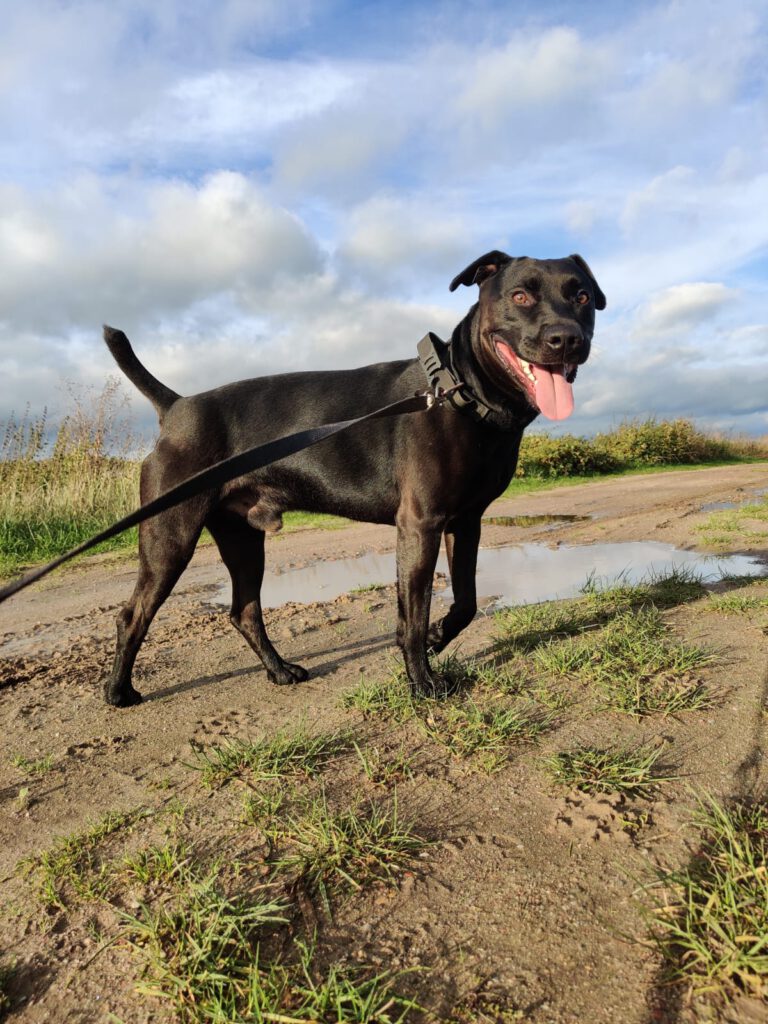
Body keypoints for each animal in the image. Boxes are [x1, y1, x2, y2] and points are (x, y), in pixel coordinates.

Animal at [102, 251, 606, 708]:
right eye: (521, 295)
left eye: (581, 296)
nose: (566, 338)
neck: (459, 395)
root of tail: (176, 406)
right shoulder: (420, 525)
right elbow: (412, 614)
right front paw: (423, 682)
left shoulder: (466, 523)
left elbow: (467, 602)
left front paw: (440, 636)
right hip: (170, 537)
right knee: (132, 615)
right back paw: (119, 691)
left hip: (242, 538)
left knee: (244, 610)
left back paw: (279, 671)